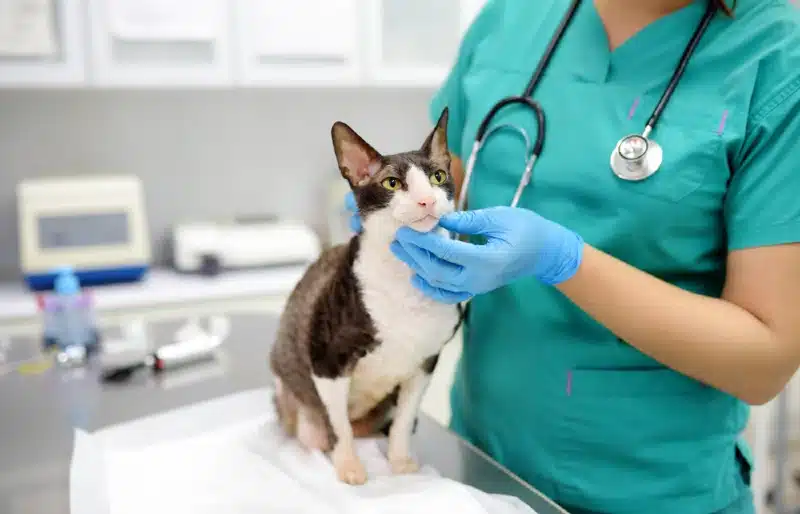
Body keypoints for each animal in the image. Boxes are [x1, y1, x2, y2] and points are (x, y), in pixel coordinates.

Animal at [268, 107, 460, 484]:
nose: (428, 200)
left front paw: (400, 461)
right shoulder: (327, 359)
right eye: (392, 183)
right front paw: (349, 465)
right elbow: (338, 424)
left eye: (438, 176)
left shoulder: (426, 363)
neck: (404, 278)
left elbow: (403, 420)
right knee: (319, 429)